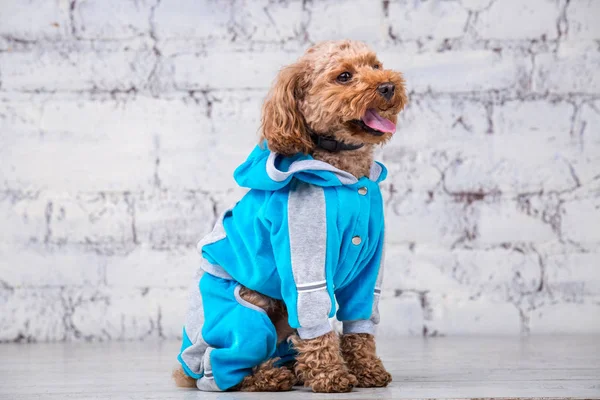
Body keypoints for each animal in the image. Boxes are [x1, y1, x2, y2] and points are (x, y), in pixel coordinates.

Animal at [173, 41, 408, 394]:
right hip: (246, 316)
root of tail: (184, 367)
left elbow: (361, 324)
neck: (344, 171)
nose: (388, 86)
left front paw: (367, 369)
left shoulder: (369, 268)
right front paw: (331, 375)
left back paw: (291, 370)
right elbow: (316, 321)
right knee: (219, 374)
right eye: (343, 76)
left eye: (376, 65)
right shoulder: (305, 260)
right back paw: (268, 377)